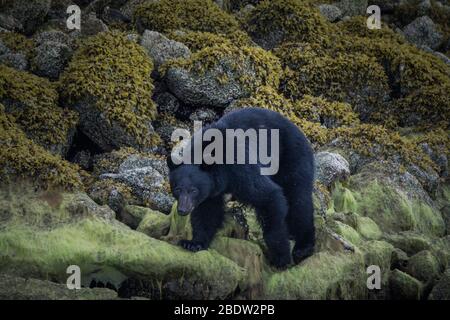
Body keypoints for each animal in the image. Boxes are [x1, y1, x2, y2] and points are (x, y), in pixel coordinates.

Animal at [167, 107, 314, 268]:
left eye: (193, 190)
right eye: (177, 189)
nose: (182, 210)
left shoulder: (240, 167)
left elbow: (268, 196)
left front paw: (281, 256)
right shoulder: (211, 190)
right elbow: (206, 212)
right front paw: (194, 243)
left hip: (292, 158)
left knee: (299, 201)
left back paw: (303, 247)